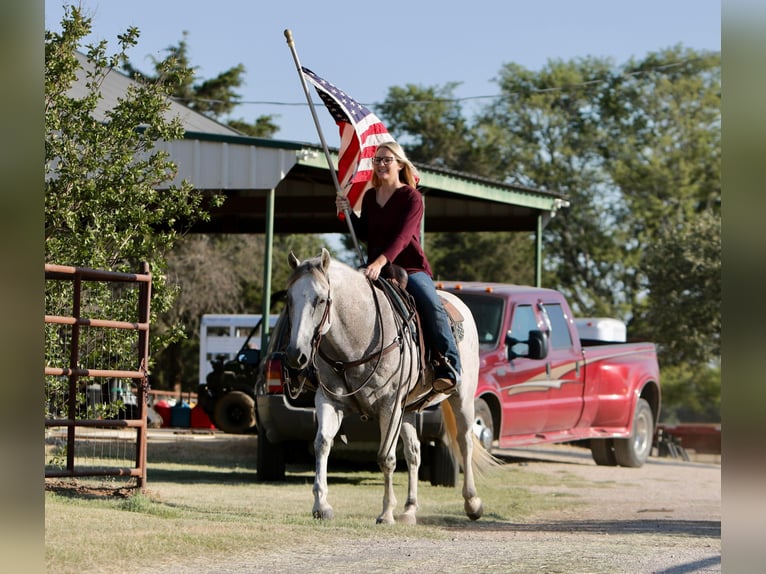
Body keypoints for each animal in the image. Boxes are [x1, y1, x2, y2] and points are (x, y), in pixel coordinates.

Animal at [284, 249, 496, 528]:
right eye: (288, 299)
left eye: (320, 300)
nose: (295, 355)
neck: (359, 335)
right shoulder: (329, 400)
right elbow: (322, 444)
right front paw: (322, 506)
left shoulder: (389, 405)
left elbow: (386, 457)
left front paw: (385, 514)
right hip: (408, 410)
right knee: (414, 452)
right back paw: (409, 510)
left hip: (462, 398)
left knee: (464, 442)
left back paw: (472, 503)